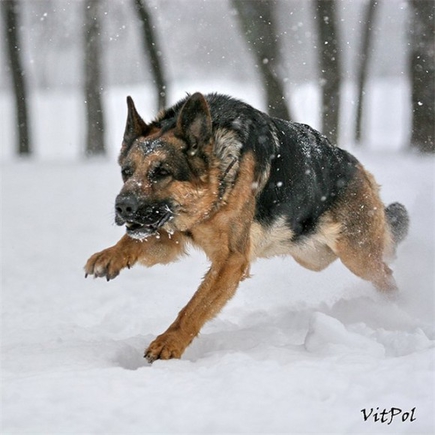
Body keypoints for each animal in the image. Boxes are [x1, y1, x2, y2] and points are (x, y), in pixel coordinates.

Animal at [84, 90, 408, 362]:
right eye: (126, 172)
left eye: (161, 172)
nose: (123, 207)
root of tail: (358, 168)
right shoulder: (172, 235)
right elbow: (135, 240)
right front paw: (109, 255)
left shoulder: (230, 261)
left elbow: (193, 308)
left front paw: (169, 342)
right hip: (312, 256)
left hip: (356, 255)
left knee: (387, 274)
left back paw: (395, 308)